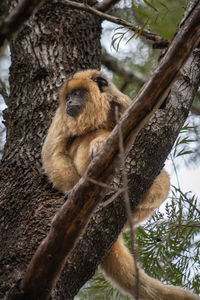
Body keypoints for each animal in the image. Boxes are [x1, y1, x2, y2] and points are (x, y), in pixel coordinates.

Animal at [41, 69, 199, 300]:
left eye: (77, 93)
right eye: (68, 96)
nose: (69, 101)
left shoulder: (123, 103)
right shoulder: (62, 116)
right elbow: (53, 154)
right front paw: (71, 193)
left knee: (161, 179)